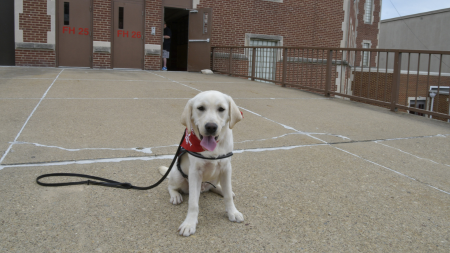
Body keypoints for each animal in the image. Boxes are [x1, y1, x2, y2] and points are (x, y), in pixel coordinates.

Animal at [158, 90, 243, 236]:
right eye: (200, 108)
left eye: (221, 109)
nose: (211, 127)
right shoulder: (195, 173)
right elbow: (193, 203)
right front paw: (189, 224)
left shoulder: (226, 169)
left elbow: (228, 196)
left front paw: (233, 212)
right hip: (177, 175)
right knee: (170, 186)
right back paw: (175, 195)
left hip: (216, 177)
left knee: (215, 187)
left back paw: (221, 190)